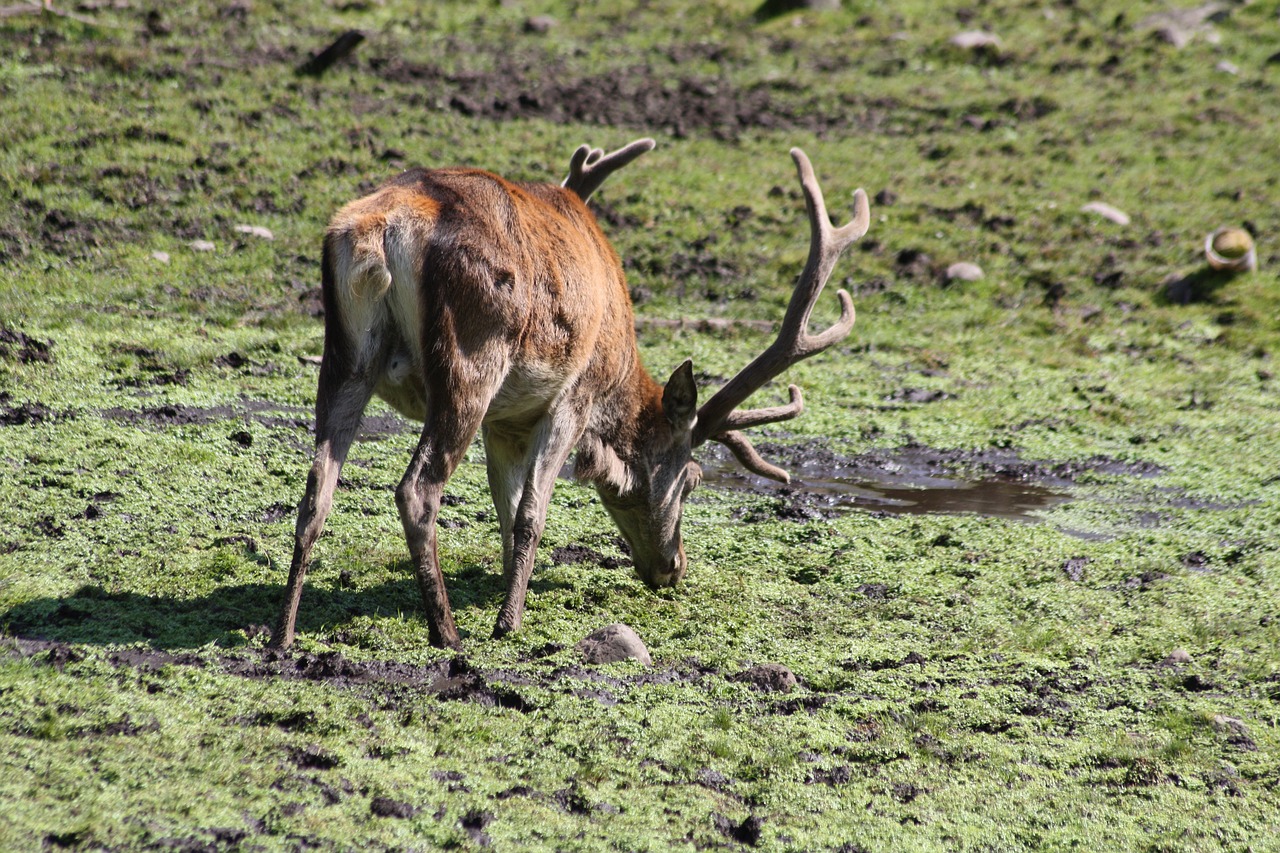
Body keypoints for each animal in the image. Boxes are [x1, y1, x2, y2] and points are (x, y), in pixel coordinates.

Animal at [268, 137, 870, 650]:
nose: (673, 567)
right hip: (471, 361)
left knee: (316, 488)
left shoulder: (505, 421)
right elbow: (532, 511)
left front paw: (507, 588)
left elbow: (506, 507)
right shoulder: (573, 398)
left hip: (346, 353)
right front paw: (508, 622)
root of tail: (382, 228)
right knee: (417, 488)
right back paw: (447, 633)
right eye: (693, 480)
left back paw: (284, 633)